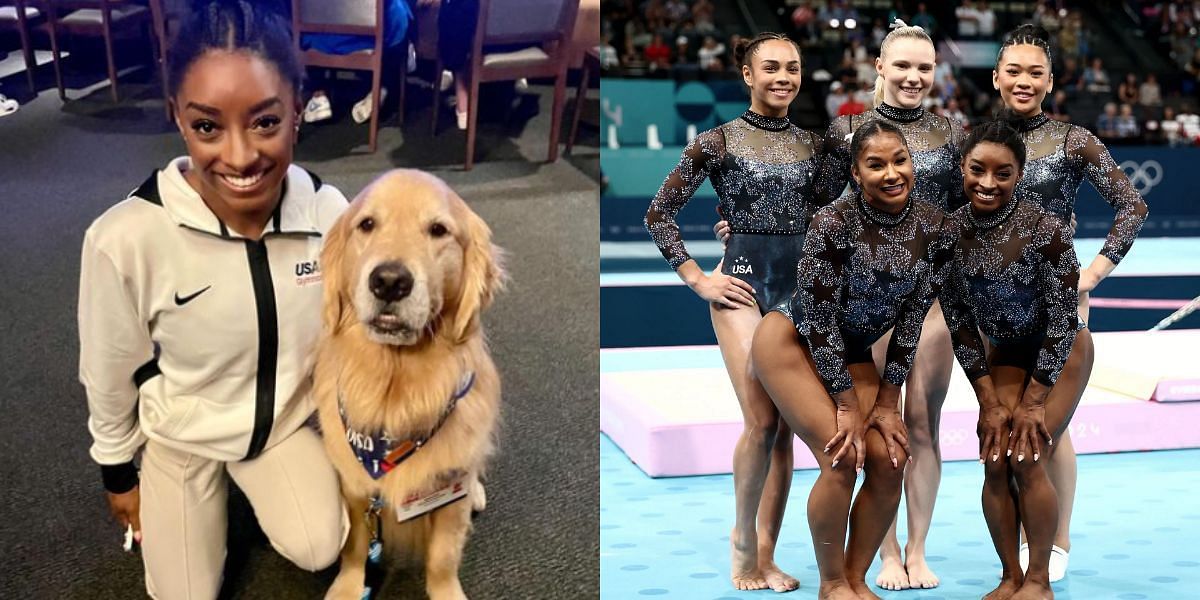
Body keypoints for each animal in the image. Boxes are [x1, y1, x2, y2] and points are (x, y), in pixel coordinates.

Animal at [314, 170, 501, 600]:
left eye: (438, 230)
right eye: (367, 224)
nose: (389, 281)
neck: (395, 391)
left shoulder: (449, 491)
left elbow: (443, 558)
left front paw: (446, 592)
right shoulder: (355, 484)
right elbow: (355, 547)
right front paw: (348, 585)